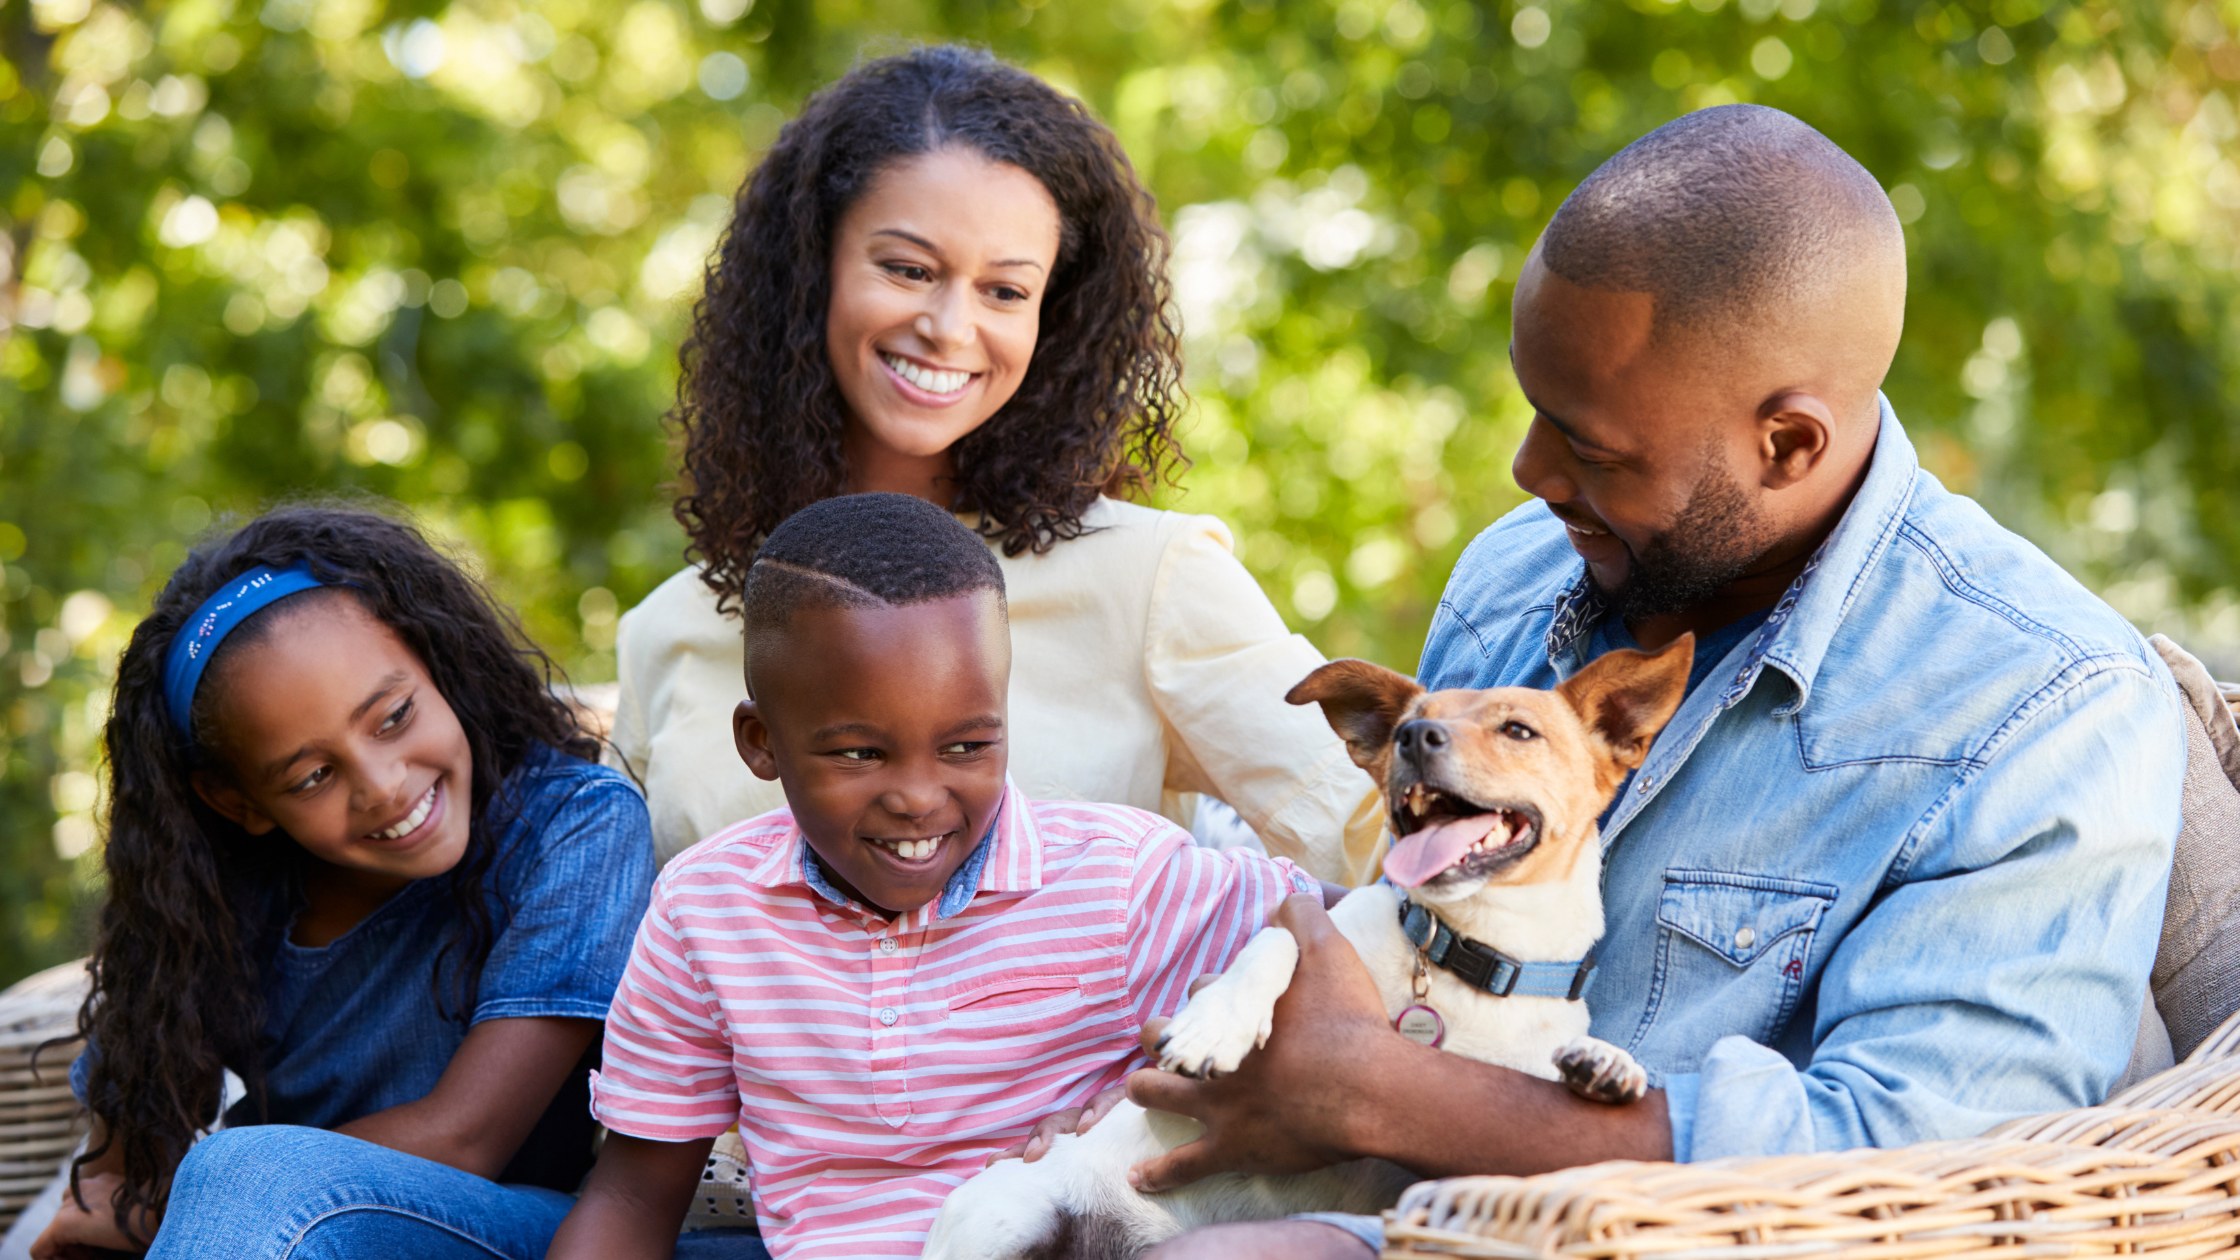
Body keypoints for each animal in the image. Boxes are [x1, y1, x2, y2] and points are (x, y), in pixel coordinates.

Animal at [918, 636, 1684, 1255]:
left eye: (1519, 730)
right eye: (1404, 728)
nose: (1416, 737)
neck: (1458, 956)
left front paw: (1608, 1064)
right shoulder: (1307, 928)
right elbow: (1277, 943)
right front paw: (1217, 1025)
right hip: (1006, 1224)